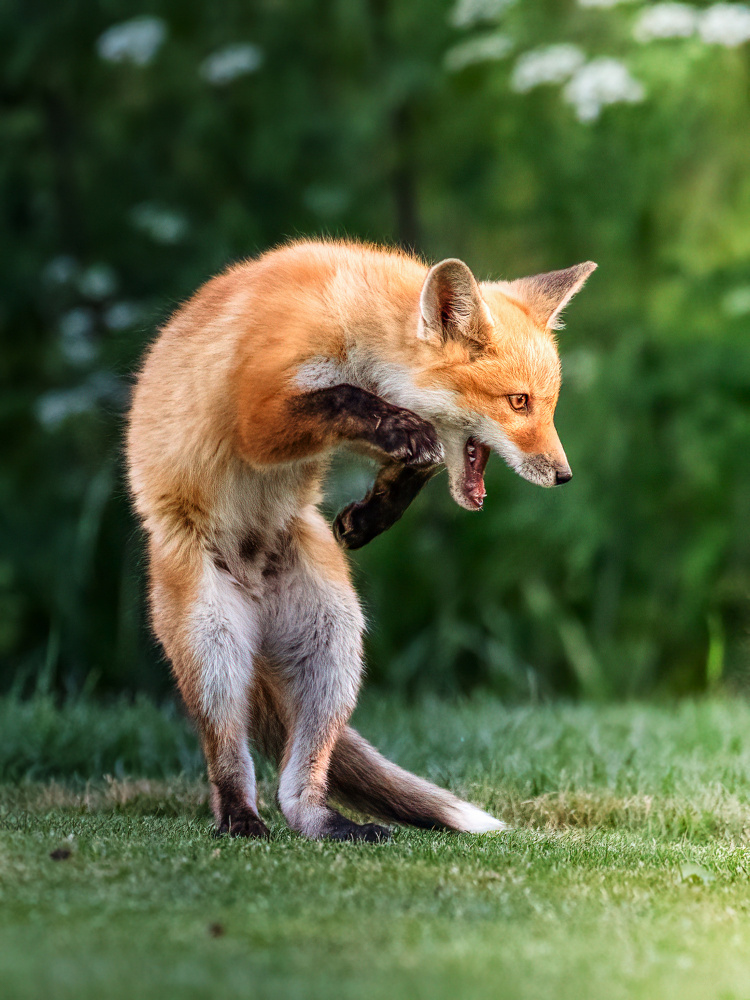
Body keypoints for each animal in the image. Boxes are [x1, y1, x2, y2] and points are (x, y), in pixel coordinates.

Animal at [126, 240, 595, 842]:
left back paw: (329, 824)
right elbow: (345, 400)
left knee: (298, 787)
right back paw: (239, 818)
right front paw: (398, 436)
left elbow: (422, 455)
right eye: (519, 402)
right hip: (214, 648)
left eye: (548, 404)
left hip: (336, 645)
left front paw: (370, 516)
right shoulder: (257, 412)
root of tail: (255, 600)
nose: (564, 476)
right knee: (230, 755)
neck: (348, 321)